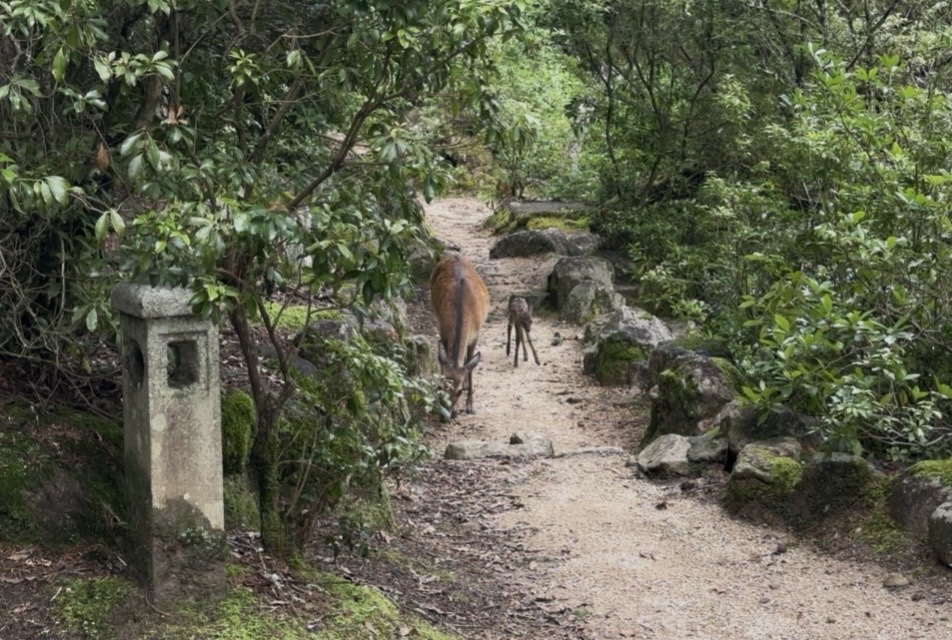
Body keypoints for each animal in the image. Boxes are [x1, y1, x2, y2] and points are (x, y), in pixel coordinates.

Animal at [430, 252, 490, 418]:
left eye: (459, 391)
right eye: (439, 387)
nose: (446, 416)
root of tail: (454, 256)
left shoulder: (475, 336)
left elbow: (470, 365)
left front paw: (470, 405)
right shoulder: (443, 333)